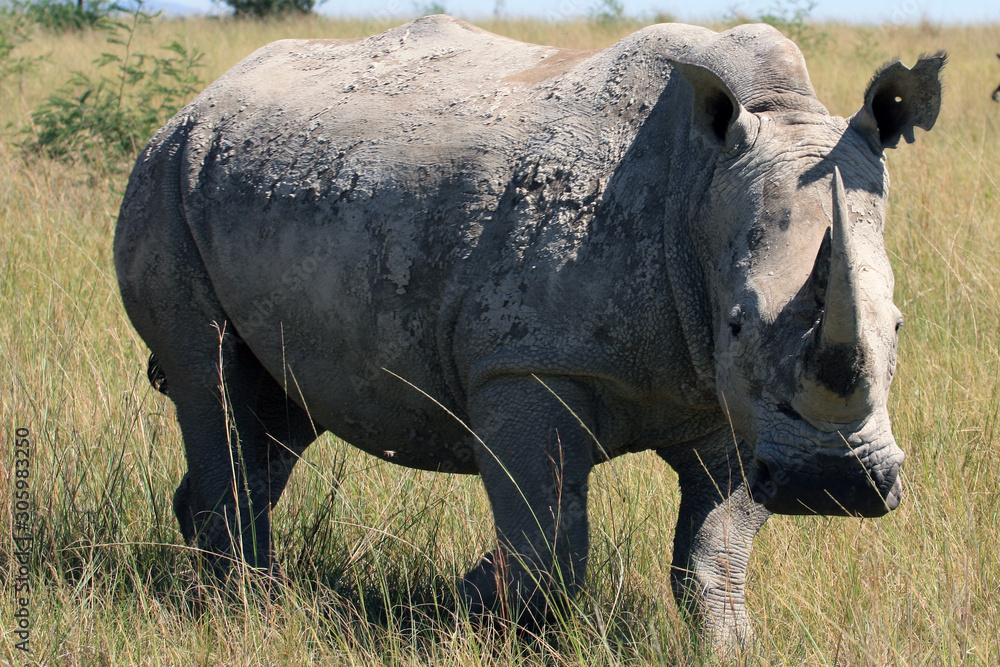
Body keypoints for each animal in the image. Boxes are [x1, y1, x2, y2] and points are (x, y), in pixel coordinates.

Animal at [114, 15, 945, 645]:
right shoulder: (526, 363)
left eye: (901, 324)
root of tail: (197, 102)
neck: (698, 187)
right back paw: (244, 611)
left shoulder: (732, 404)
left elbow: (715, 547)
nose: (834, 485)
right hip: (162, 179)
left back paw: (226, 588)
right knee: (212, 381)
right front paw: (479, 611)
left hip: (248, 178)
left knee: (277, 409)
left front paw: (729, 645)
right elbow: (548, 541)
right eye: (738, 322)